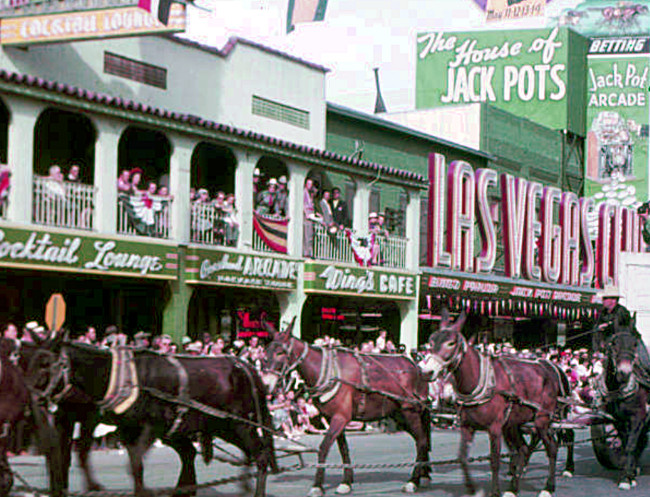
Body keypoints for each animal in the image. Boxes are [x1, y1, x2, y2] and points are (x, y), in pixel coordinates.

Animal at [258, 318, 430, 496]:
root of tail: (417, 368)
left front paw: (317, 485)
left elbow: (324, 447)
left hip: (409, 412)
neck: (328, 372)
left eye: (281, 353)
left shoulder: (340, 417)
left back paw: (413, 481)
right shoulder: (332, 417)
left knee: (422, 441)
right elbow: (343, 448)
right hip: (400, 415)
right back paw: (424, 475)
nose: (266, 384)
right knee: (421, 439)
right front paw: (346, 482)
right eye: (266, 352)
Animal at [420, 310, 568, 496]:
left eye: (451, 343)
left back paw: (548, 487)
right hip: (514, 423)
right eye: (431, 341)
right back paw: (513, 487)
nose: (427, 372)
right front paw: (472, 488)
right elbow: (462, 458)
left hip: (542, 418)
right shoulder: (467, 426)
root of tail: (549, 369)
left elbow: (495, 460)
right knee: (523, 449)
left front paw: (495, 491)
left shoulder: (495, 427)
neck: (478, 381)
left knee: (552, 447)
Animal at [596, 322, 644, 488]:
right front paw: (629, 475)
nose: (624, 372)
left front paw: (625, 478)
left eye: (635, 344)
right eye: (614, 344)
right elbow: (626, 443)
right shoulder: (619, 420)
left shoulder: (638, 416)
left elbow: (630, 446)